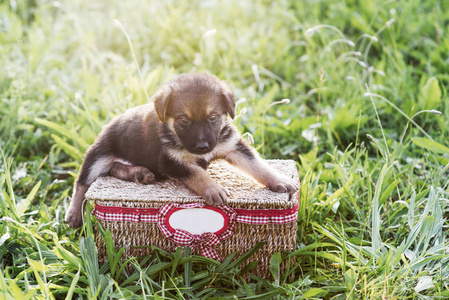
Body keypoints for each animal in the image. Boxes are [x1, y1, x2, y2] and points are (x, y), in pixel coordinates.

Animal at [65, 74, 298, 227]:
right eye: (183, 120)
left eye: (213, 117)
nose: (202, 147)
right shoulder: (171, 161)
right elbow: (198, 174)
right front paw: (214, 189)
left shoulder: (233, 146)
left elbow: (257, 165)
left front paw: (280, 180)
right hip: (97, 155)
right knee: (82, 183)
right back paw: (74, 214)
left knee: (114, 168)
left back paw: (139, 173)